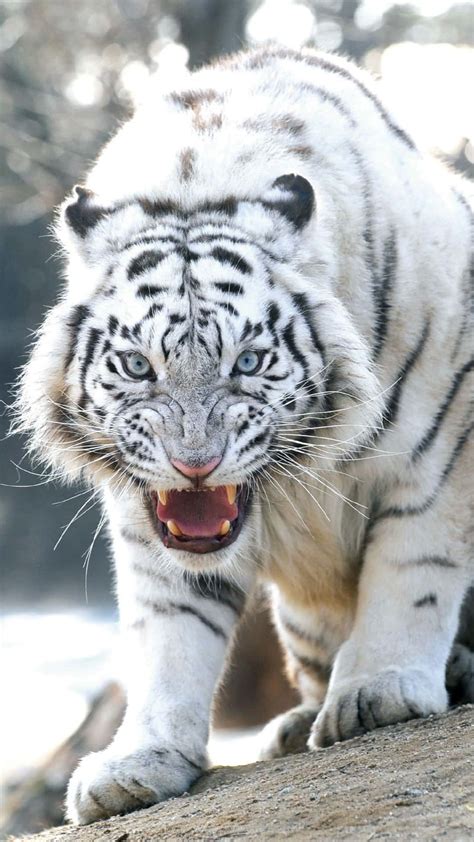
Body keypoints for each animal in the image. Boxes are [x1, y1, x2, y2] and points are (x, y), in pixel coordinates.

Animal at [14, 46, 473, 825]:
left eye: (248, 362)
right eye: (138, 365)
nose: (194, 465)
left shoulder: (443, 435)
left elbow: (413, 565)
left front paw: (380, 690)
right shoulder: (148, 514)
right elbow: (168, 632)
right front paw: (135, 764)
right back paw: (295, 725)